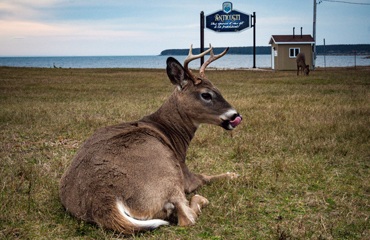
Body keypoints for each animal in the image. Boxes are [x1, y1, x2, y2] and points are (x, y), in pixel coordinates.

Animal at [59, 44, 243, 234]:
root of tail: (104, 200)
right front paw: (233, 174)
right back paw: (202, 199)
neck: (172, 133)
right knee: (186, 216)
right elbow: (205, 176)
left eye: (218, 90)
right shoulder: (184, 172)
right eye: (206, 95)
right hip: (167, 171)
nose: (236, 116)